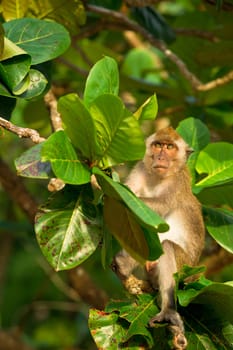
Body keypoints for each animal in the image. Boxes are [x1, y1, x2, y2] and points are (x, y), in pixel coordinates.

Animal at [112, 127, 205, 348]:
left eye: (170, 147)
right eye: (158, 145)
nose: (161, 156)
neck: (159, 178)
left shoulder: (178, 182)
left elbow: (156, 209)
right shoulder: (140, 168)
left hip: (184, 268)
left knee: (168, 247)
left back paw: (168, 311)